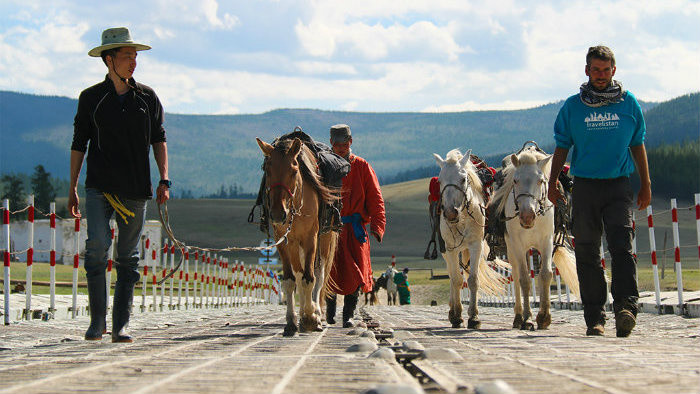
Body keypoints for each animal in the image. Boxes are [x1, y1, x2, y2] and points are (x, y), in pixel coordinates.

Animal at [256, 138, 340, 336]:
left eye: (294, 170)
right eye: (267, 170)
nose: (278, 214)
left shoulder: (310, 238)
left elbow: (310, 278)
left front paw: (311, 318)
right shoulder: (284, 241)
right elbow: (290, 280)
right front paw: (292, 322)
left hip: (324, 239)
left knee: (319, 273)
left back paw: (316, 311)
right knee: (299, 273)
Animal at [432, 149, 508, 328]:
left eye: (463, 179)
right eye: (440, 180)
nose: (450, 213)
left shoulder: (475, 246)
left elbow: (473, 279)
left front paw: (474, 317)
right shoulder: (451, 249)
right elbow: (457, 280)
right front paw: (457, 316)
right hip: (446, 252)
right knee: (452, 276)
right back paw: (452, 310)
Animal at [486, 147, 580, 330]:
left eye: (541, 180)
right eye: (515, 180)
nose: (527, 216)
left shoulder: (547, 241)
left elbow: (545, 274)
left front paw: (544, 317)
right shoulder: (517, 244)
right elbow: (524, 279)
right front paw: (528, 318)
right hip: (513, 249)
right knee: (516, 274)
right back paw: (518, 317)